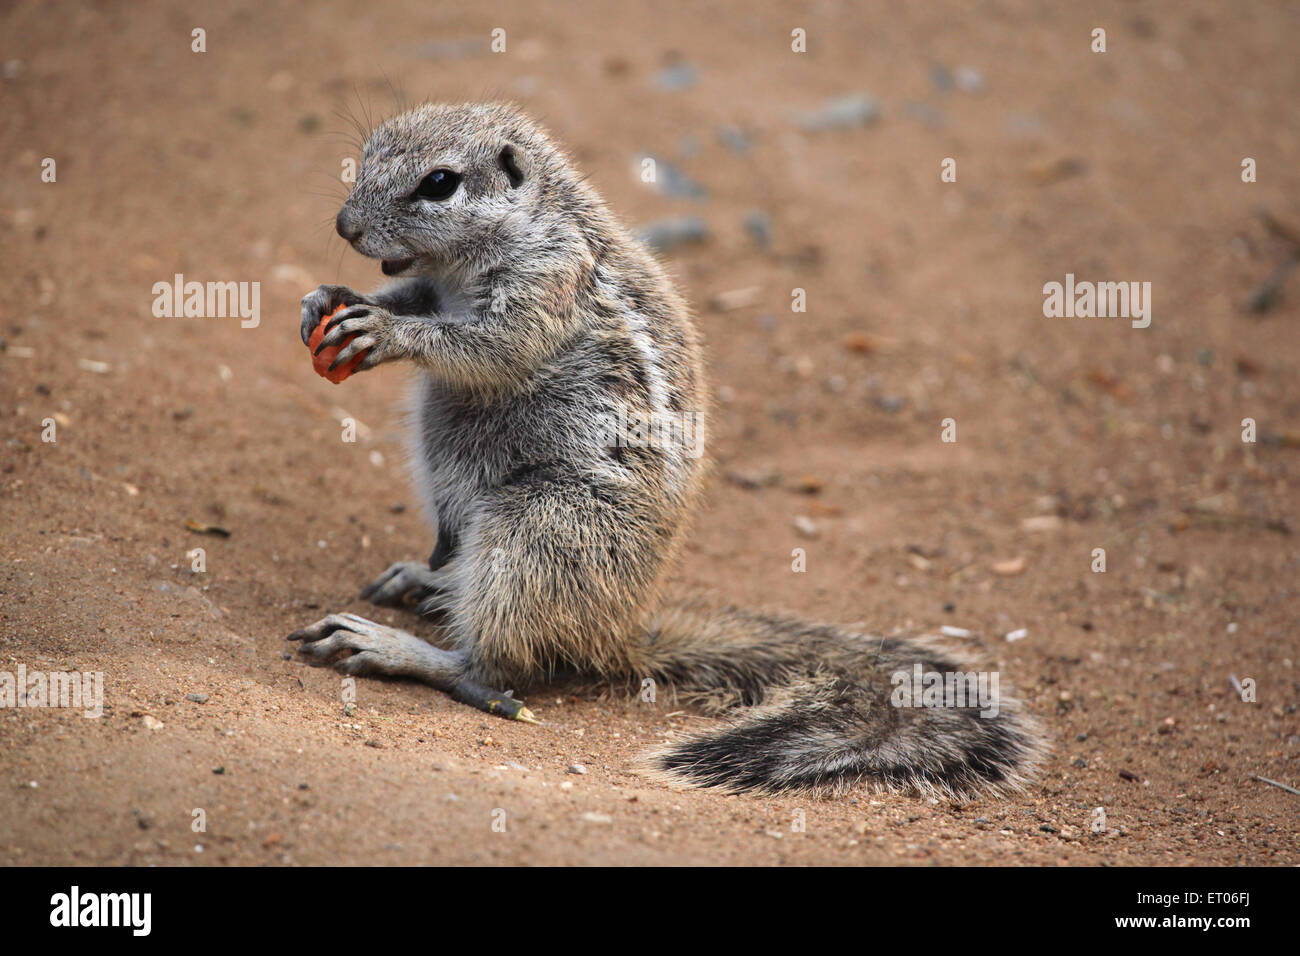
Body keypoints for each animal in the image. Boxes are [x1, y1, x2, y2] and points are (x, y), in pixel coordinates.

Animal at [289, 102, 1040, 801]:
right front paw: (330, 297)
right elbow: (408, 293)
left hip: (540, 528)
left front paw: (390, 332)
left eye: (439, 183)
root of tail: (619, 633)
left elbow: (490, 346)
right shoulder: (434, 283)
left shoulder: (548, 287)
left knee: (498, 667)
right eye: (366, 154)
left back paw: (394, 646)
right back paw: (428, 581)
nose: (345, 228)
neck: (520, 227)